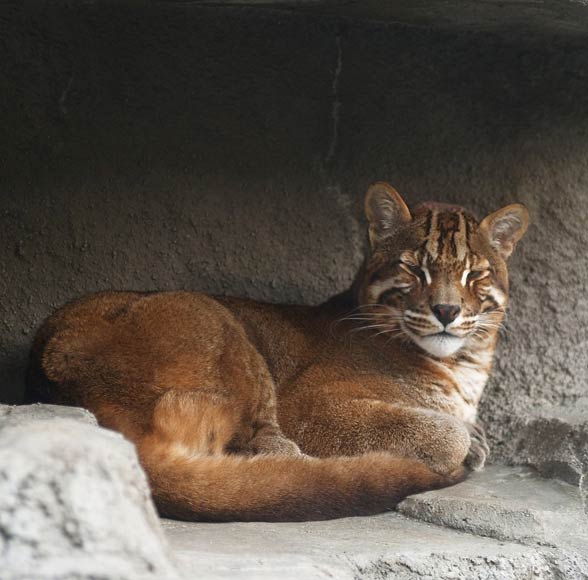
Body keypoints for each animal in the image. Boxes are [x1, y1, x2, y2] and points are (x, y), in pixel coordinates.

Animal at [25, 185, 528, 520]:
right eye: (413, 269)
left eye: (474, 275)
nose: (446, 310)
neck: (465, 364)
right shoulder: (312, 406)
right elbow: (444, 431)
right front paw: (466, 445)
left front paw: (476, 437)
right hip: (218, 321)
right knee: (284, 468)